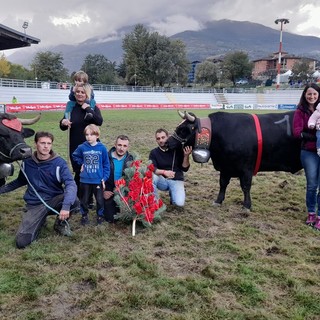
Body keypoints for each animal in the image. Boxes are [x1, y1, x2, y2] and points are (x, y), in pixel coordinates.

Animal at [168, 111, 302, 211]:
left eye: (183, 130)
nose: (167, 143)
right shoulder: (225, 167)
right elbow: (222, 183)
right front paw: (218, 201)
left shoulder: (247, 168)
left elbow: (246, 186)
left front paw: (247, 206)